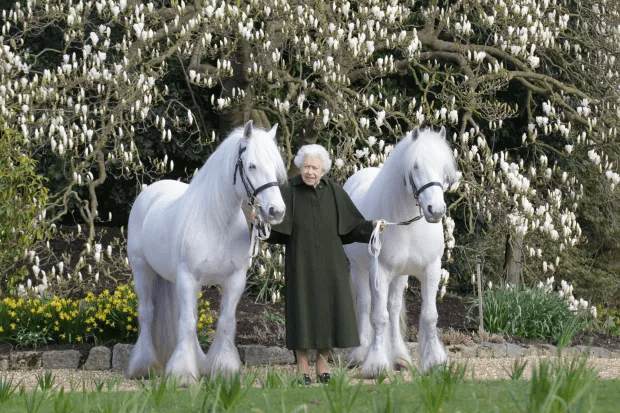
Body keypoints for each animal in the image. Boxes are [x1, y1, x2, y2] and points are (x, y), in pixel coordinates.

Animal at [128, 120, 288, 384]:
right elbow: (187, 323)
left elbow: (224, 322)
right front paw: (182, 374)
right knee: (147, 313)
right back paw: (143, 366)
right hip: (142, 269)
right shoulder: (188, 278)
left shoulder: (234, 280)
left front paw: (223, 369)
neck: (216, 222)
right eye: (252, 165)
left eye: (276, 168)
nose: (277, 211)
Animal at [344, 125, 460, 376]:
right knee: (365, 305)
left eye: (443, 168)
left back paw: (399, 357)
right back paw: (360, 354)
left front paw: (435, 361)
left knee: (394, 307)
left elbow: (429, 315)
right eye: (415, 166)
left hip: (400, 275)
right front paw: (376, 364)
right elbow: (379, 317)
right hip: (359, 269)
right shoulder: (380, 271)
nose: (436, 210)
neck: (408, 224)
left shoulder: (431, 270)